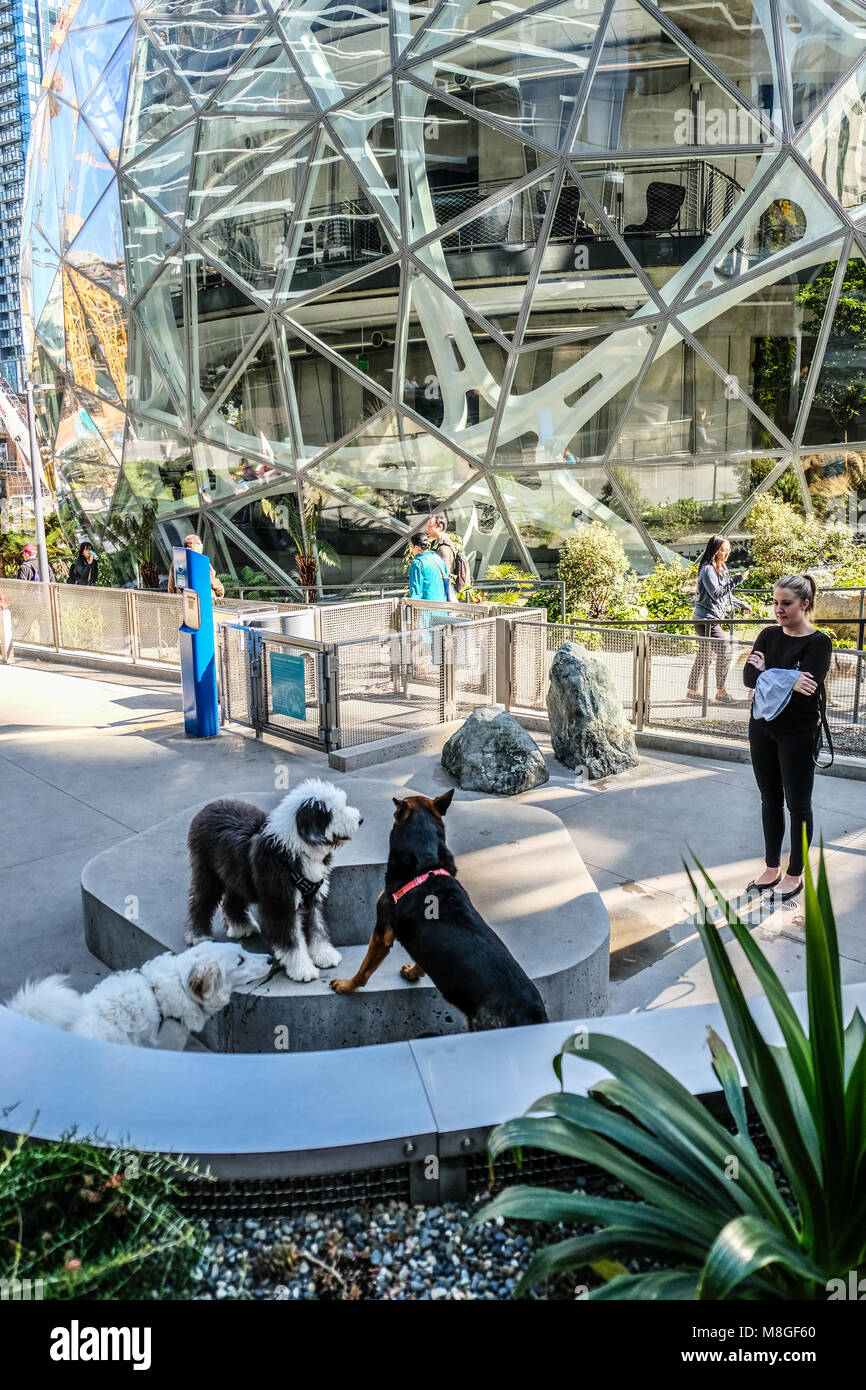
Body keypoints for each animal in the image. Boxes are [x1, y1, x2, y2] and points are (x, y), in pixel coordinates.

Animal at [184, 778, 361, 984]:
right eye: (336, 811)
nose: (360, 820)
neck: (293, 849)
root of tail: (209, 806)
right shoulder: (282, 904)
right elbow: (292, 941)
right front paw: (302, 970)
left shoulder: (314, 896)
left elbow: (318, 928)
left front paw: (325, 955)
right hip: (206, 871)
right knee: (201, 900)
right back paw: (198, 936)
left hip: (236, 875)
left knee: (231, 901)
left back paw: (242, 927)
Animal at [332, 789, 547, 1028]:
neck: (427, 864)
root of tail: (533, 1014)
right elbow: (422, 960)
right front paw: (413, 972)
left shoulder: (381, 932)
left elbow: (364, 970)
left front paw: (345, 985)